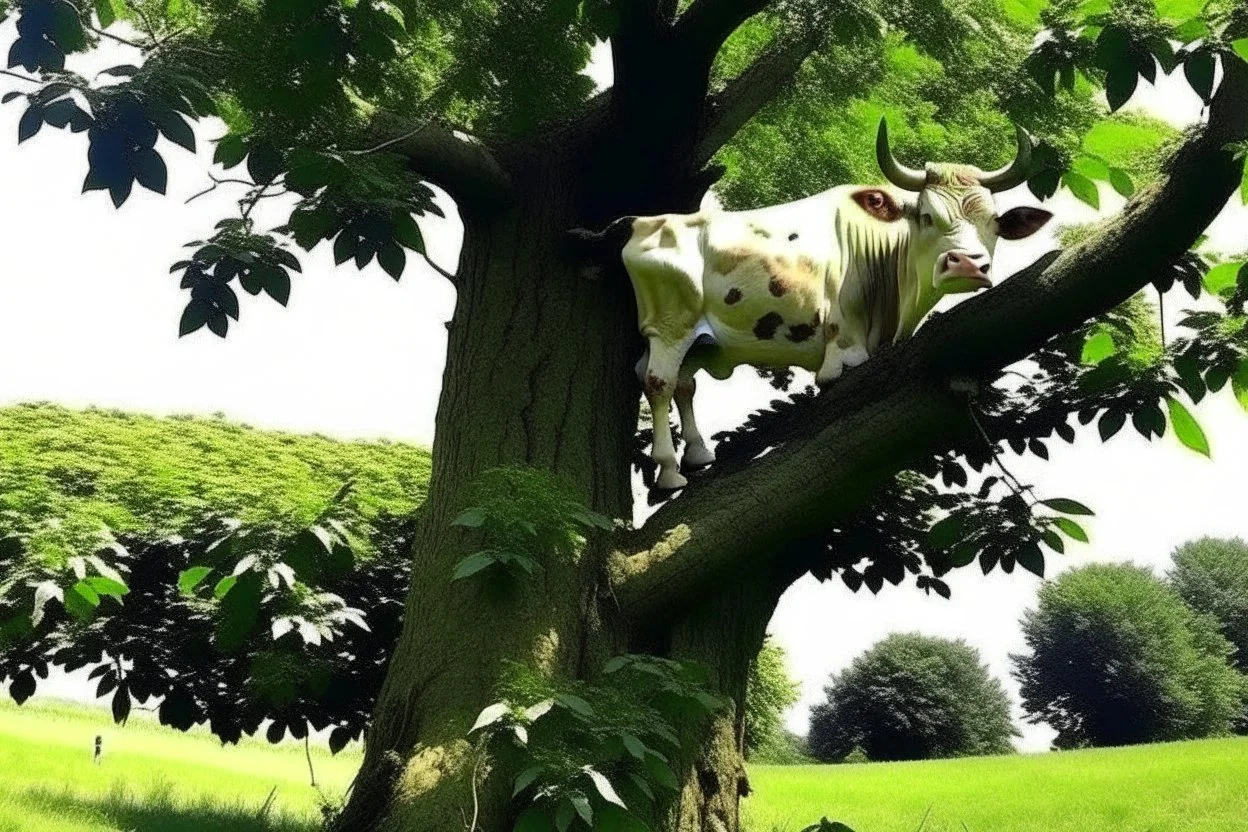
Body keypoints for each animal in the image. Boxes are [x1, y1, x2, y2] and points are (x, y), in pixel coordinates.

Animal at [604, 119, 1053, 491]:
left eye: (994, 222)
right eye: (926, 216)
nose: (968, 264)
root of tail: (641, 222)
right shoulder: (845, 353)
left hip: (695, 337)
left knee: (682, 382)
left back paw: (697, 454)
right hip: (669, 326)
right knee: (658, 381)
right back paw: (669, 472)